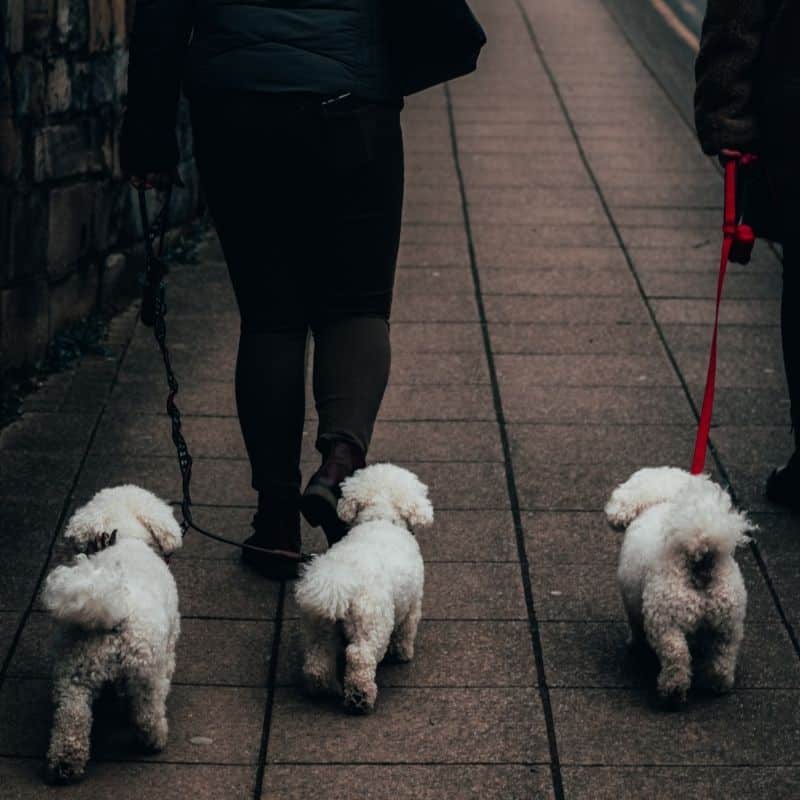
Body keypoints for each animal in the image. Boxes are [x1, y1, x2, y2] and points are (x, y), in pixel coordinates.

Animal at [42, 484, 184, 784]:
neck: (126, 537)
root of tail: (114, 613)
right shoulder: (168, 644)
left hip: (74, 674)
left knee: (72, 718)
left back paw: (65, 764)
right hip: (146, 673)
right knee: (147, 713)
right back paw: (154, 741)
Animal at [294, 462, 432, 712]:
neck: (381, 518)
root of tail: (341, 579)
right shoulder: (413, 602)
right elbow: (406, 630)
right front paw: (403, 653)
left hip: (320, 624)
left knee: (318, 656)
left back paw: (322, 688)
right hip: (372, 623)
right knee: (360, 656)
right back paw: (360, 696)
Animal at [608, 466, 752, 704]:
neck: (665, 498)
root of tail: (701, 559)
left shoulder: (632, 602)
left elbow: (636, 626)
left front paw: (635, 645)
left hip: (665, 617)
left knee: (676, 655)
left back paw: (672, 691)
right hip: (729, 618)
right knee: (724, 652)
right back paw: (718, 683)